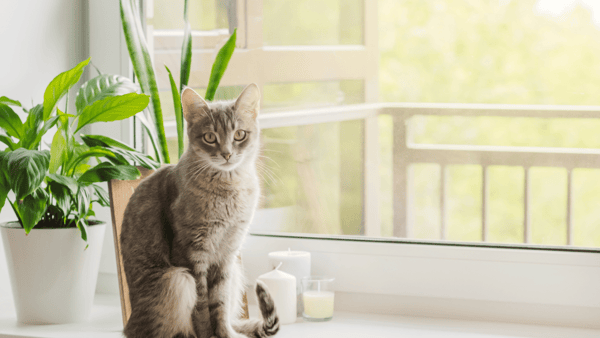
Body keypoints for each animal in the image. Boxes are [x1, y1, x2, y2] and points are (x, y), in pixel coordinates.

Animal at [121, 84, 282, 338]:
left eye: (239, 134)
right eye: (209, 137)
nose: (227, 154)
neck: (228, 189)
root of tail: (128, 326)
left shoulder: (227, 255)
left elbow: (220, 304)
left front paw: (225, 333)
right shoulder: (191, 252)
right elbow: (202, 306)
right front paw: (209, 333)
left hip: (235, 271)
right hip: (175, 279)